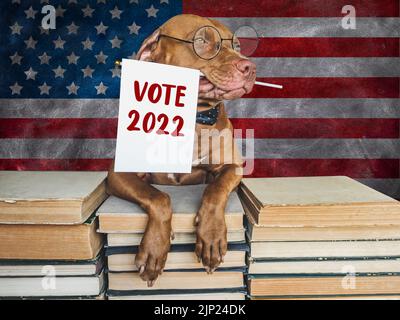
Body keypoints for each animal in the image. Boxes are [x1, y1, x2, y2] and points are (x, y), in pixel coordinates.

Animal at [106, 14, 256, 284]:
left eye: (237, 45)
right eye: (202, 41)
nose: (249, 67)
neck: (191, 117)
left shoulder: (233, 167)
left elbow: (215, 190)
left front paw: (211, 234)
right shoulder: (118, 173)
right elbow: (159, 197)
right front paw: (154, 249)